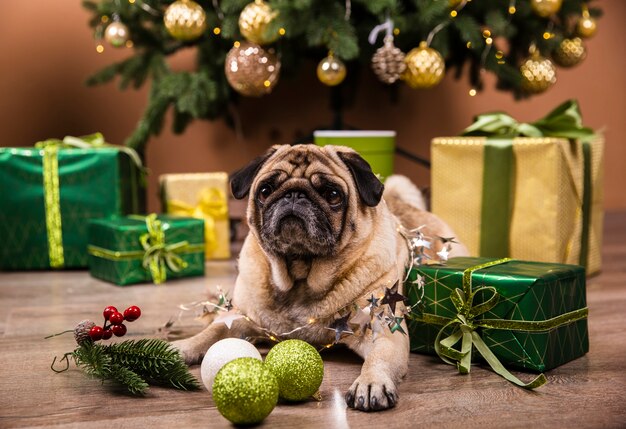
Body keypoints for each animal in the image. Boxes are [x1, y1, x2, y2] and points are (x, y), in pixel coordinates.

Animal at [173, 144, 466, 412]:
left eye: (332, 194)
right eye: (265, 191)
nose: (294, 194)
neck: (300, 275)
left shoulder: (383, 327)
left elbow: (379, 359)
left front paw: (371, 383)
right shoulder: (241, 318)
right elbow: (213, 331)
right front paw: (180, 347)